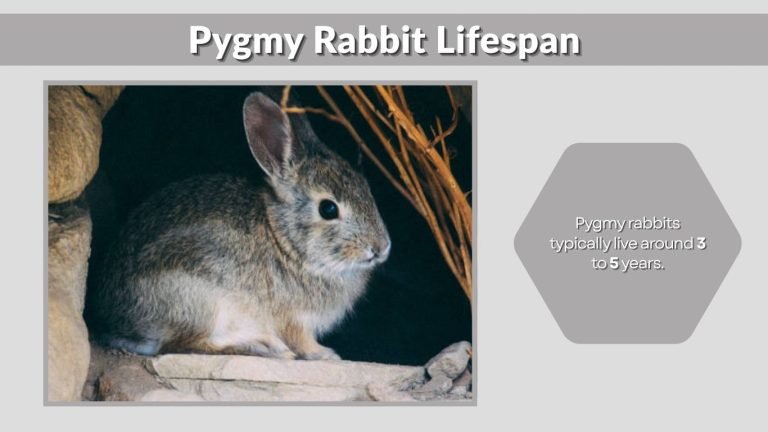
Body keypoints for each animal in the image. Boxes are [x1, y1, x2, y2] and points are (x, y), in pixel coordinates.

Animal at [86, 90, 391, 360]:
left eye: (366, 189)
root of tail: (120, 326)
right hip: (199, 299)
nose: (381, 248)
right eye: (328, 209)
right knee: (181, 345)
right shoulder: (293, 319)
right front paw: (325, 354)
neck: (284, 240)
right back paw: (263, 348)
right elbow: (301, 341)